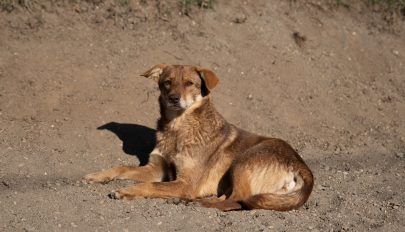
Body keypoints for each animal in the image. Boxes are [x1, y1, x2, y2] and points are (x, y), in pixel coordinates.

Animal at [83, 64, 314, 211]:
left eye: (190, 83)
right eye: (167, 82)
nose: (173, 98)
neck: (177, 128)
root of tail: (301, 166)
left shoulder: (185, 183)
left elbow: (153, 186)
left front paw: (127, 190)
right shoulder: (156, 168)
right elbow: (122, 168)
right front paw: (98, 176)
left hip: (242, 161)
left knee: (237, 200)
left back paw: (200, 203)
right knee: (232, 197)